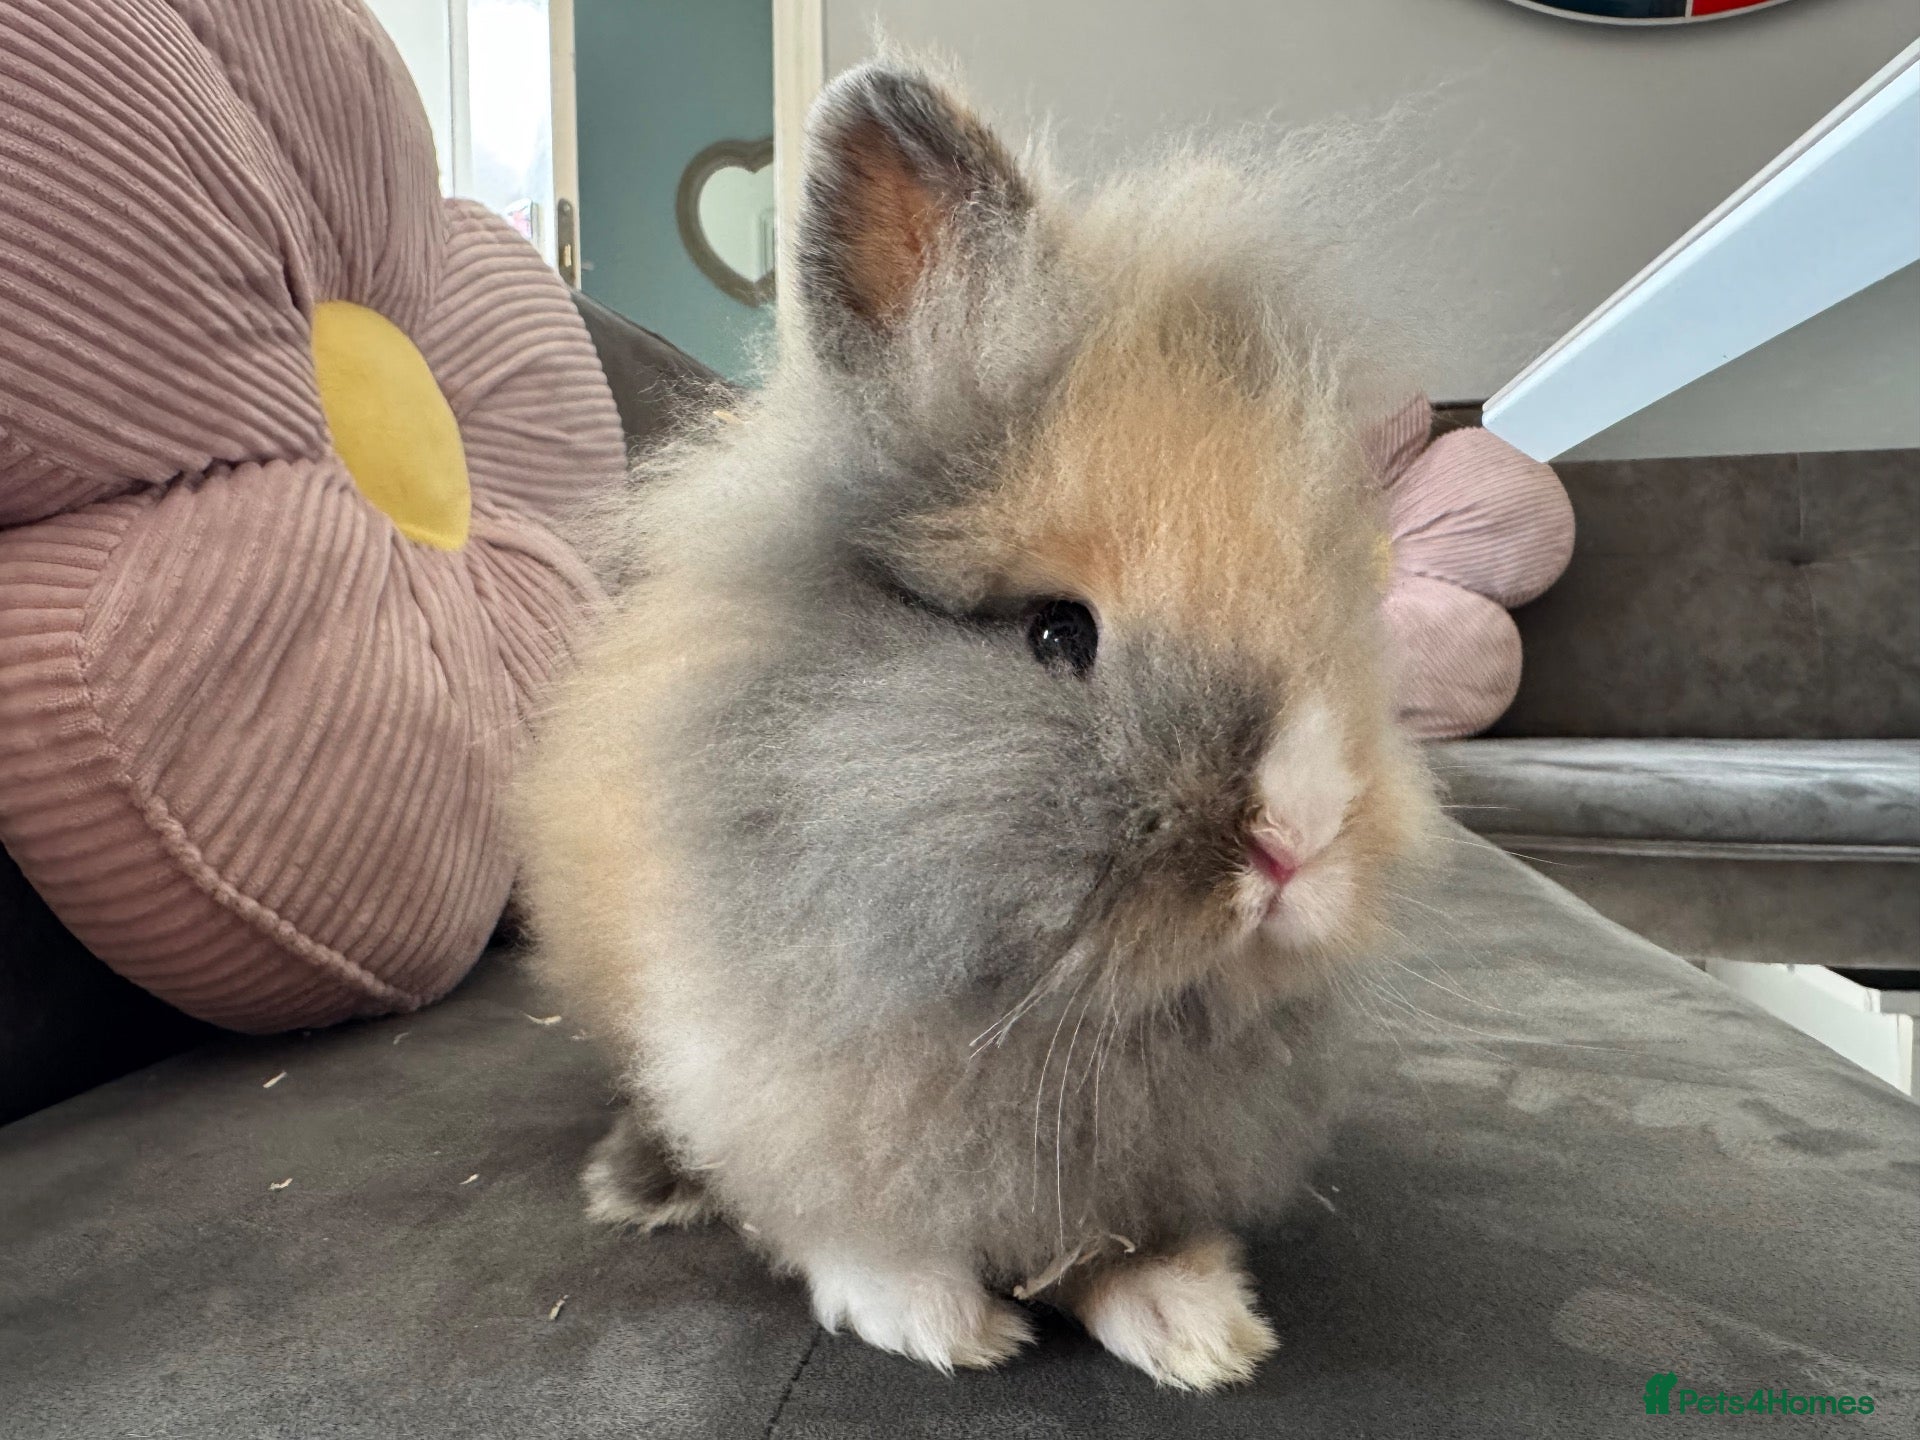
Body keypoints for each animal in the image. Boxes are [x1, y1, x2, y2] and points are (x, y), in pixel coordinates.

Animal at [514, 57, 1438, 1391]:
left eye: (1341, 601)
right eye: (1057, 633)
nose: (1299, 839)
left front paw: (1199, 1329)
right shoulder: (768, 1075)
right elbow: (844, 1219)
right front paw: (935, 1325)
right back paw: (641, 1187)